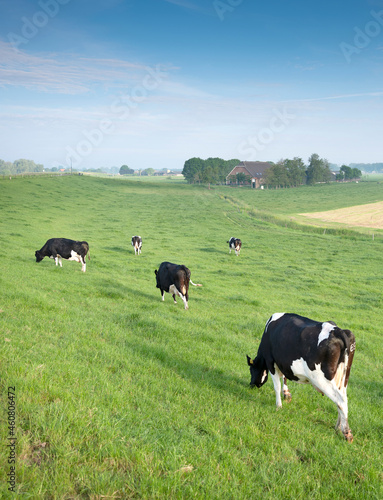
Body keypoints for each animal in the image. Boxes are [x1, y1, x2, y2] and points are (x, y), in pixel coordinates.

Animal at [249, 312, 356, 442]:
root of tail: (338, 331)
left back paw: (346, 432)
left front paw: (279, 405)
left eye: (251, 369)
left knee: (340, 400)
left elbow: (277, 386)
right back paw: (338, 426)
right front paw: (286, 394)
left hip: (322, 378)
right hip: (343, 378)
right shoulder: (283, 362)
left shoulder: (271, 361)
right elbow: (284, 377)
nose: (251, 384)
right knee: (342, 398)